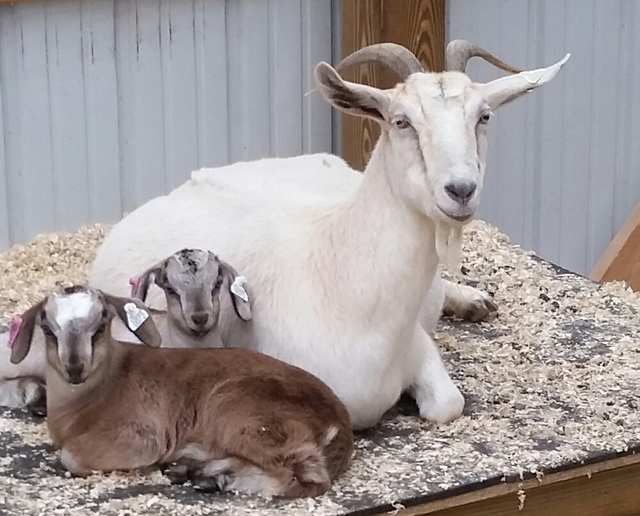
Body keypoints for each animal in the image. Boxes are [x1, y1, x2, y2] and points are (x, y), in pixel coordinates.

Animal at [8, 286, 353, 497]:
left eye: (101, 325)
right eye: (48, 329)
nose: (75, 368)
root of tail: (339, 424)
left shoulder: (141, 435)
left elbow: (70, 456)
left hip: (238, 411)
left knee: (305, 477)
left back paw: (214, 476)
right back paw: (199, 471)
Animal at [89, 42, 571, 429]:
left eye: (483, 116)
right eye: (401, 121)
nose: (461, 190)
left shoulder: (417, 345)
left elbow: (448, 405)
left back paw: (473, 300)